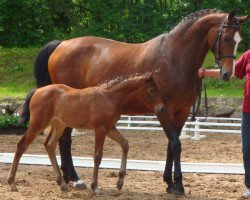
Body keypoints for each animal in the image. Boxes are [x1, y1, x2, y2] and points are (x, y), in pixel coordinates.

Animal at [6, 70, 164, 194]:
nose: (161, 108)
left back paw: (62, 184)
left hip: (59, 125)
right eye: (151, 90)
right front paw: (95, 187)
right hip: (38, 124)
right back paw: (12, 183)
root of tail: (37, 91)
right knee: (22, 145)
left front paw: (119, 183)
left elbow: (125, 144)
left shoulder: (110, 127)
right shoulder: (100, 129)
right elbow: (98, 156)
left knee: (49, 145)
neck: (110, 97)